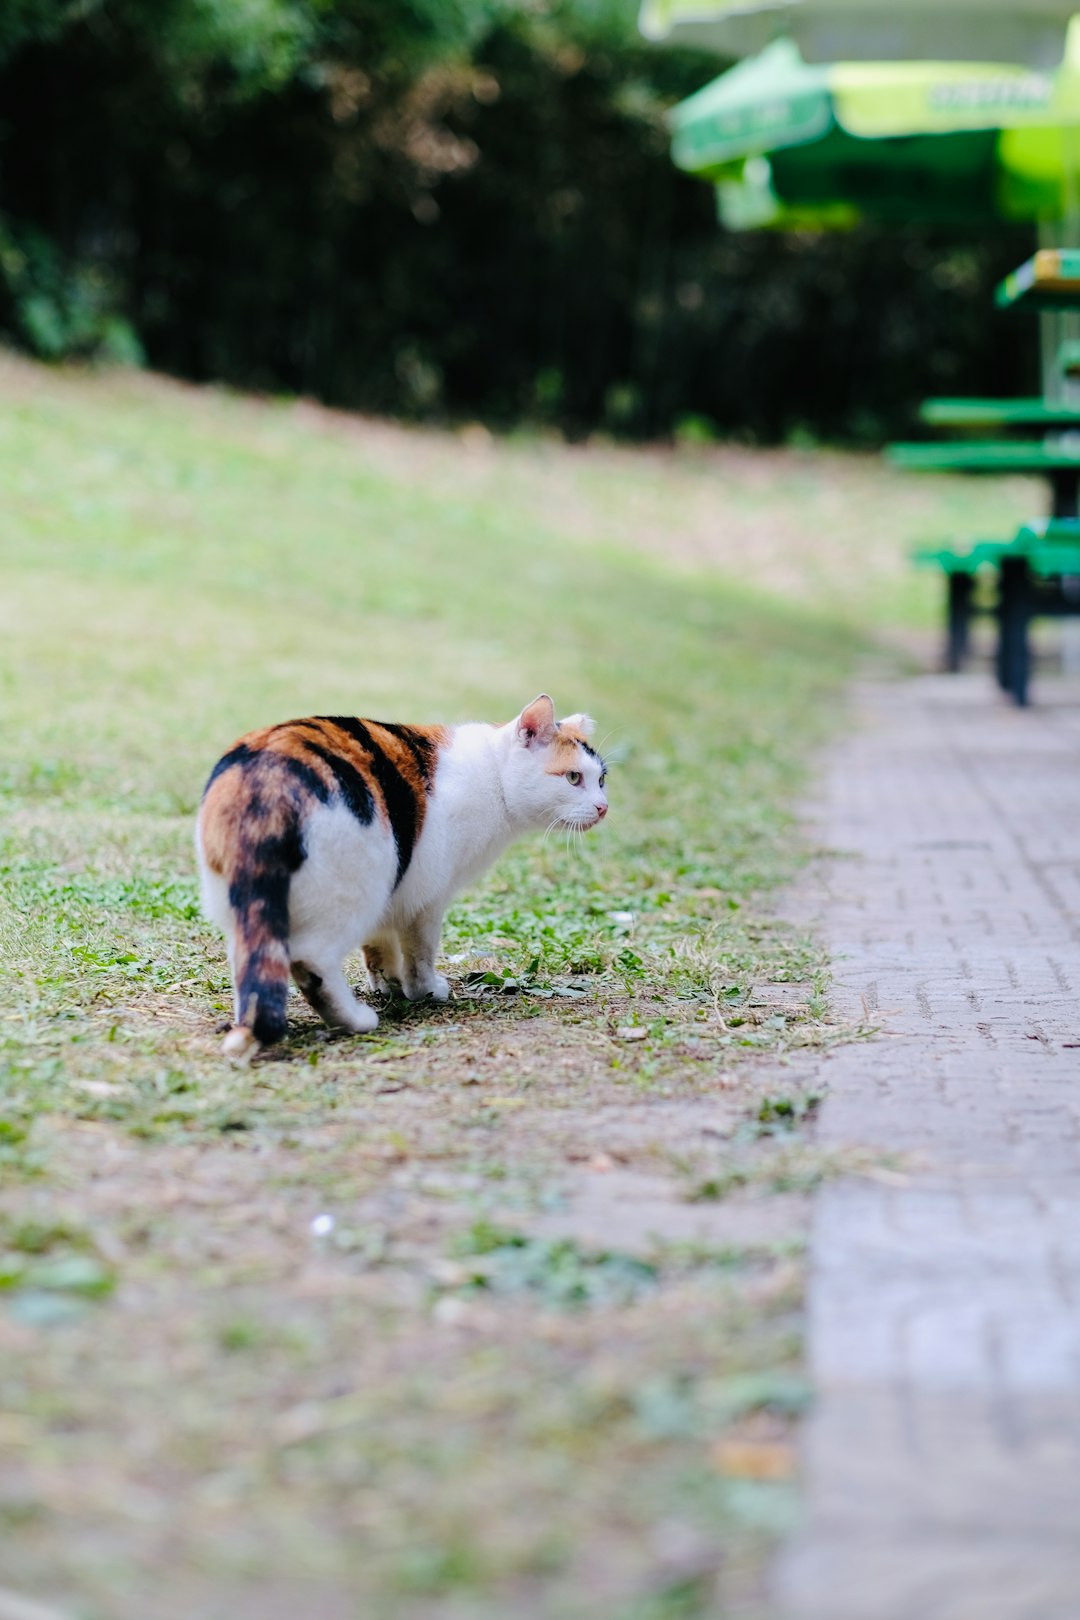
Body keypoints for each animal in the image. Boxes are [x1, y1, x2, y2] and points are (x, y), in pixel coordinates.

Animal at [196, 696, 608, 1062]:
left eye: (601, 779)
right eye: (573, 778)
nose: (603, 807)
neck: (493, 777)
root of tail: (266, 781)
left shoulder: (395, 889)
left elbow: (379, 945)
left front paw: (387, 984)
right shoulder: (427, 897)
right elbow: (420, 952)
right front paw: (423, 990)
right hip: (354, 887)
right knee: (311, 959)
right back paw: (353, 1019)